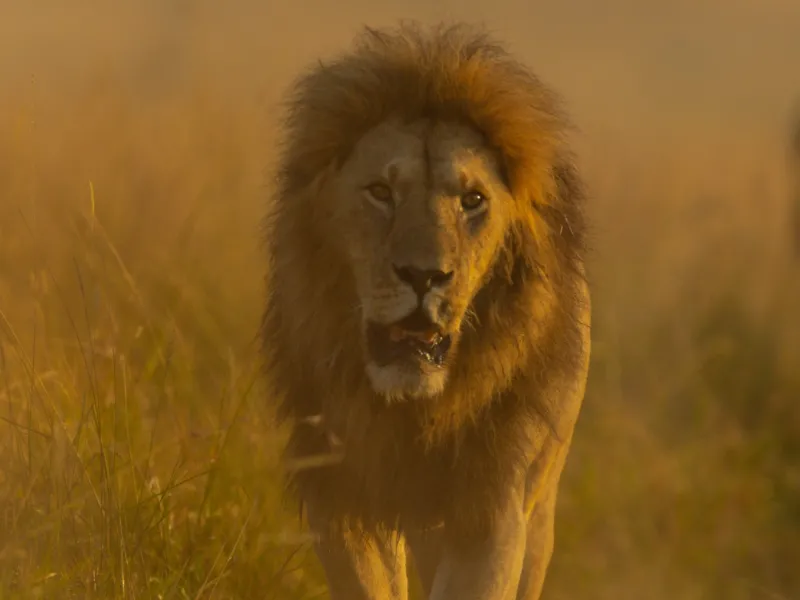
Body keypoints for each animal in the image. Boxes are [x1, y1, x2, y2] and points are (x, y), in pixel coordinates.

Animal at [260, 22, 591, 600]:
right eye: (380, 191)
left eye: (472, 200)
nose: (423, 276)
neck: (413, 412)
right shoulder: (340, 496)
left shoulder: (491, 509)